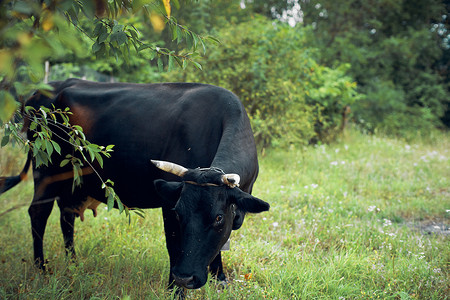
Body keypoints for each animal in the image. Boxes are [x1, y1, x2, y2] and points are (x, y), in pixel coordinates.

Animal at [0, 78, 268, 290]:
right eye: (179, 213)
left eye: (218, 217)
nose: (186, 278)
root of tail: (43, 90)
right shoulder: (168, 203)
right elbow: (174, 247)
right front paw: (174, 289)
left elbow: (219, 246)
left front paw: (219, 279)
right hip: (45, 170)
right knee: (38, 212)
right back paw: (41, 268)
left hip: (71, 181)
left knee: (66, 215)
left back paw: (73, 263)